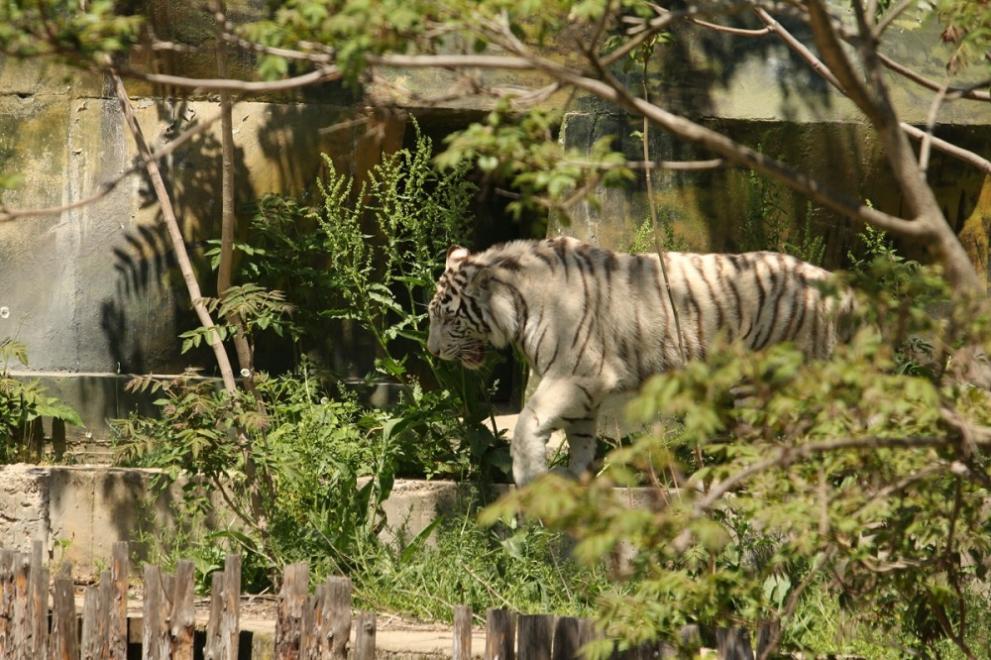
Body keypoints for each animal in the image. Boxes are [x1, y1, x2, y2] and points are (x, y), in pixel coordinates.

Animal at [426, 237, 852, 484]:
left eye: (449, 318)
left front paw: (529, 477)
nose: (431, 351)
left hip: (765, 381)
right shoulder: (582, 388)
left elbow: (529, 421)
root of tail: (839, 287)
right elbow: (581, 437)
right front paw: (577, 476)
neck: (519, 303)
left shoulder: (576, 372)